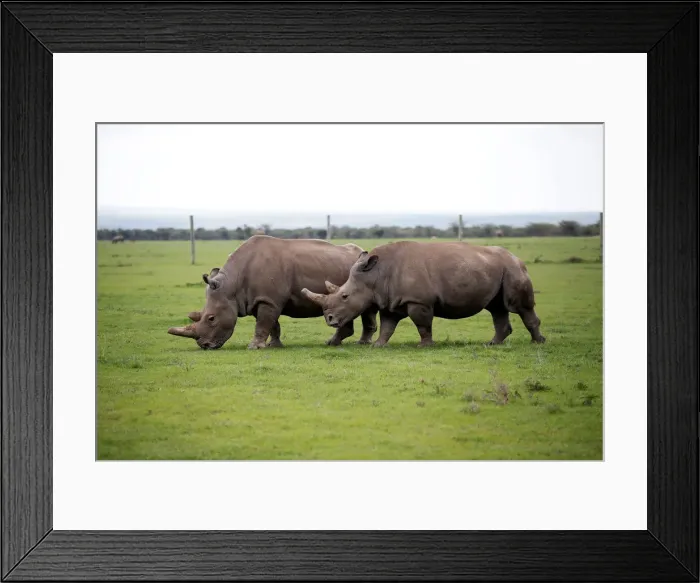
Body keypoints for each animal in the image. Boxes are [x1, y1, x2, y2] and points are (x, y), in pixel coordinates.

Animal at [167, 235, 377, 350]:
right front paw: (273, 345)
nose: (205, 346)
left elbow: (263, 323)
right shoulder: (263, 299)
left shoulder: (268, 300)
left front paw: (253, 347)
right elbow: (272, 324)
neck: (231, 286)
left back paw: (348, 344)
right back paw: (341, 343)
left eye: (211, 318)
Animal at [301, 241, 545, 347]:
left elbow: (422, 324)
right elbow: (388, 325)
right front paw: (377, 345)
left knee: (519, 307)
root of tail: (518, 259)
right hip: (497, 269)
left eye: (344, 296)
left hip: (512, 269)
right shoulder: (391, 301)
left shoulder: (419, 301)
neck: (375, 275)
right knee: (497, 308)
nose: (329, 319)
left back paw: (538, 343)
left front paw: (424, 346)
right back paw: (492, 344)